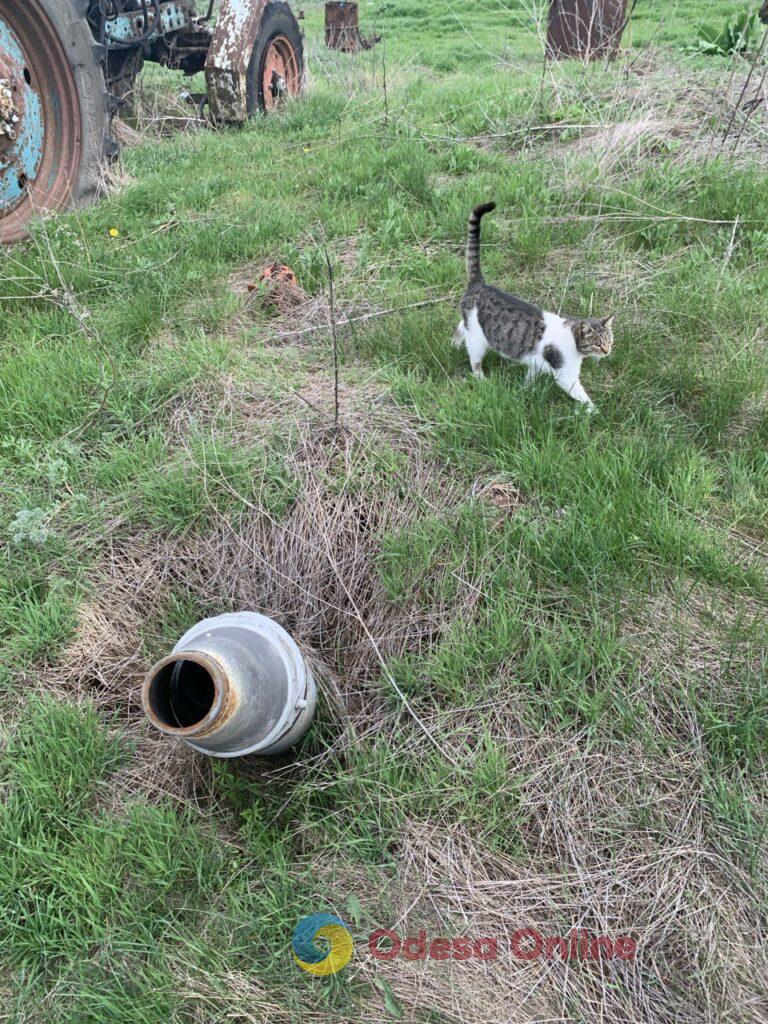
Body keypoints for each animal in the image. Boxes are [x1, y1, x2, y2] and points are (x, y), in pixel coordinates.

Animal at [454, 201, 618, 409]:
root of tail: (479, 284)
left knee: (461, 325)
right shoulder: (564, 373)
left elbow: (530, 378)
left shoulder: (537, 364)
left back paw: (455, 342)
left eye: (609, 340)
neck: (573, 339)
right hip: (478, 341)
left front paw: (526, 391)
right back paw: (481, 379)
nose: (607, 351)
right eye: (597, 344)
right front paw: (595, 411)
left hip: (471, 324)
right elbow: (581, 395)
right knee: (474, 361)